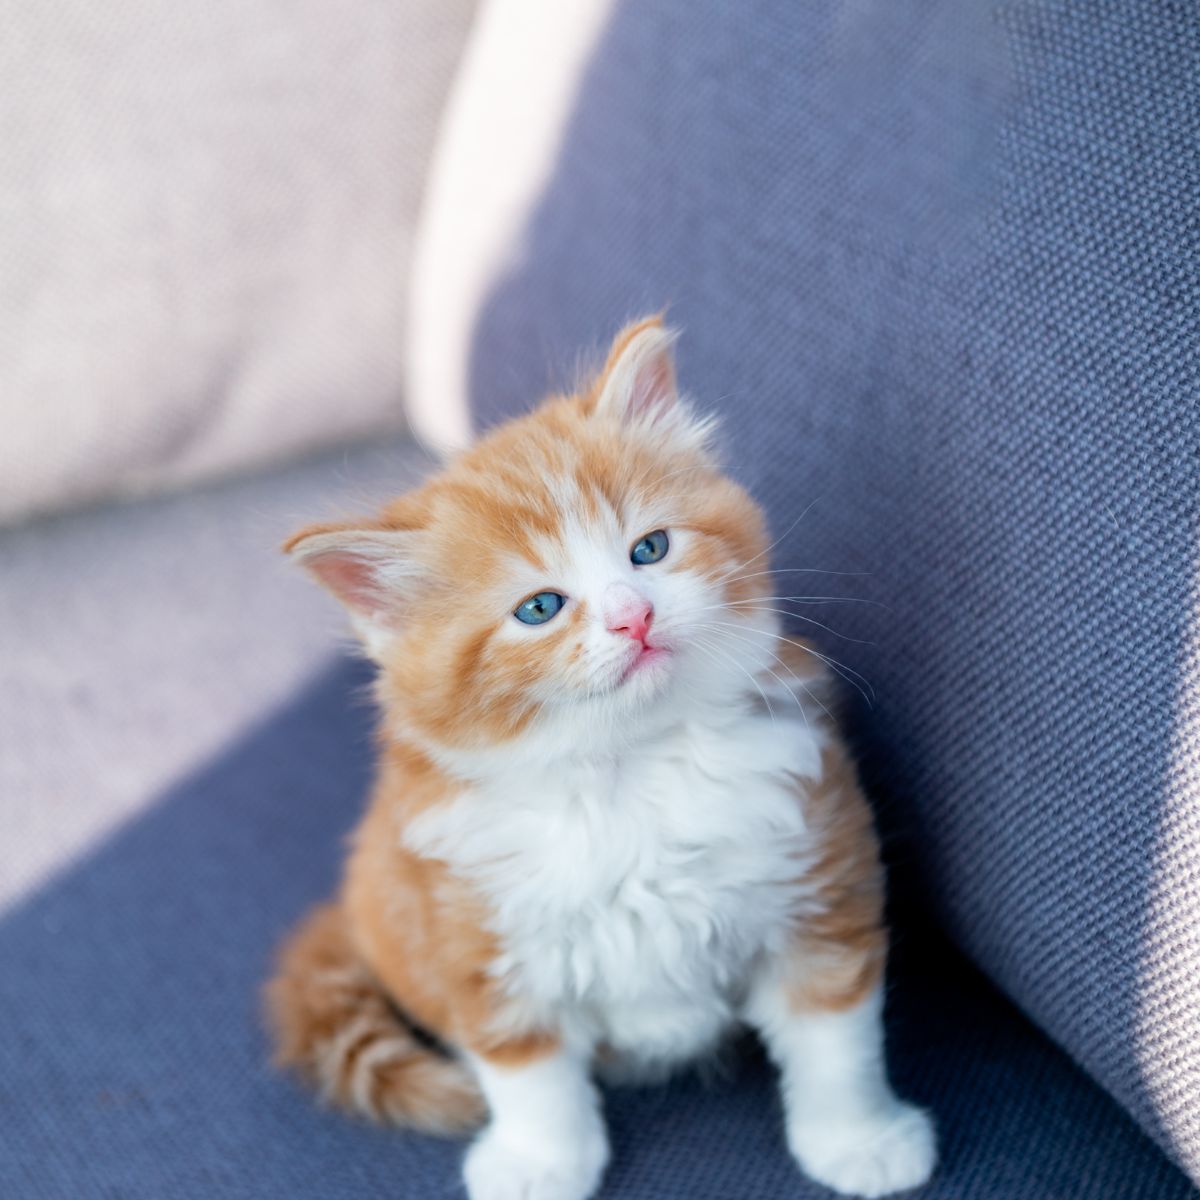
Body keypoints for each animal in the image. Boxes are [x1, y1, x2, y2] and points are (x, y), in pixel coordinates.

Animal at [267, 319, 931, 1200]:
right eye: (540, 607)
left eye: (649, 550)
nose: (633, 617)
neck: (628, 771)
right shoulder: (475, 932)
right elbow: (528, 1072)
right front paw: (541, 1164)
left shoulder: (820, 874)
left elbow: (837, 1036)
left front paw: (859, 1137)